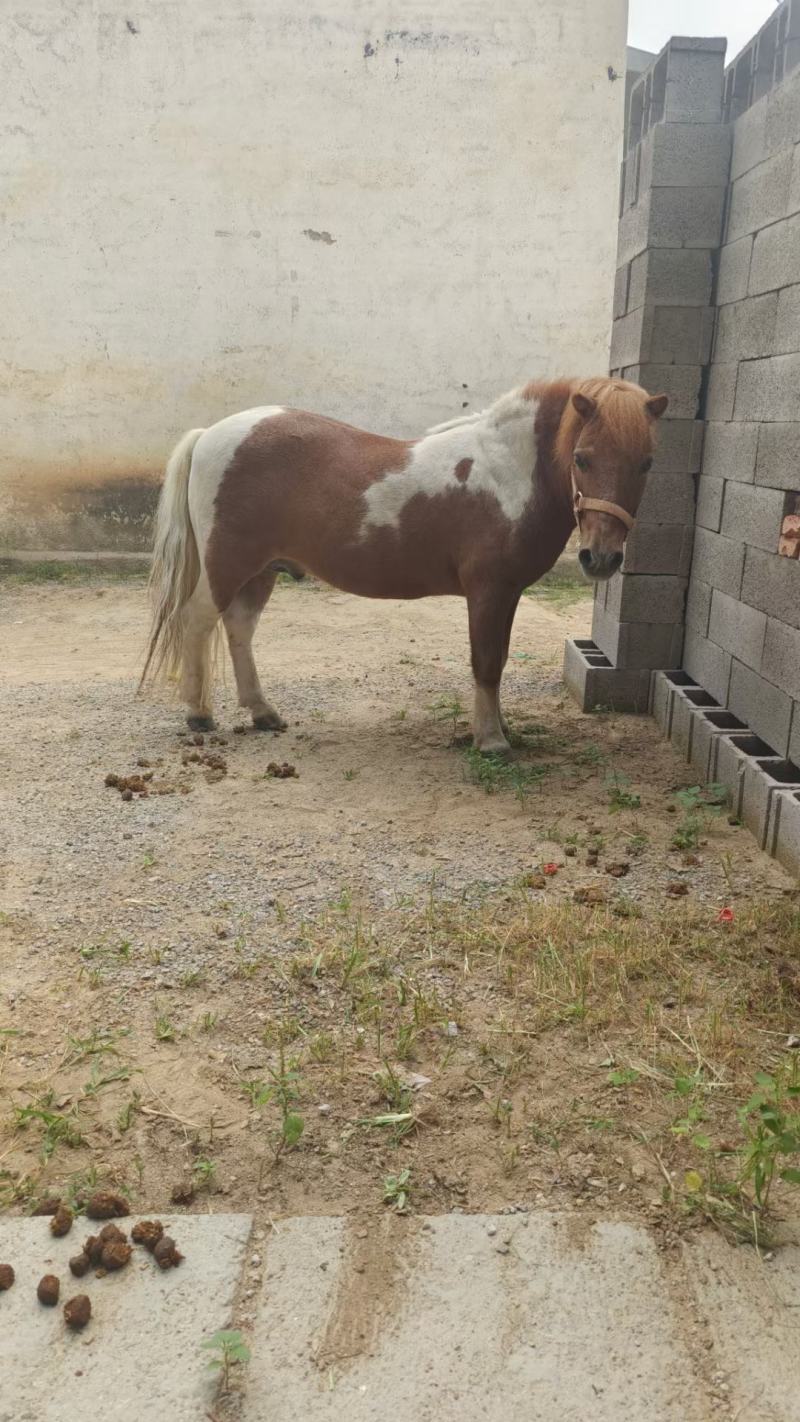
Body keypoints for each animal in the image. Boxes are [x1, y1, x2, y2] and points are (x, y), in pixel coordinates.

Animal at [140, 376, 668, 755]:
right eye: (582, 458)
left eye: (646, 463)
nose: (601, 557)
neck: (505, 474)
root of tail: (210, 434)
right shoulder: (488, 590)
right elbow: (485, 662)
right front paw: (491, 740)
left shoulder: (509, 593)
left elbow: (497, 660)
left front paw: (499, 726)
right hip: (227, 565)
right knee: (197, 621)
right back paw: (199, 714)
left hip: (261, 571)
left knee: (240, 629)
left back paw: (263, 713)